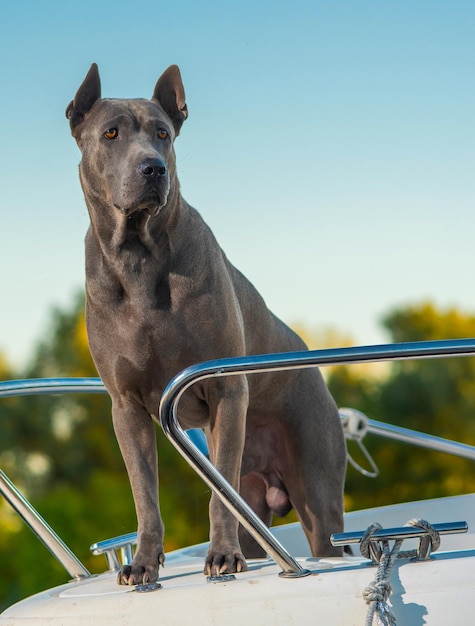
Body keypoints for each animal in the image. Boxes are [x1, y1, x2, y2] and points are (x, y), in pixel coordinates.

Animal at [66, 61, 346, 584]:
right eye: (111, 133)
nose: (153, 168)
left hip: (316, 488)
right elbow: (145, 496)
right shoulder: (126, 407)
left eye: (162, 134)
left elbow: (220, 499)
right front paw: (143, 564)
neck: (138, 257)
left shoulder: (225, 389)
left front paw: (221, 557)